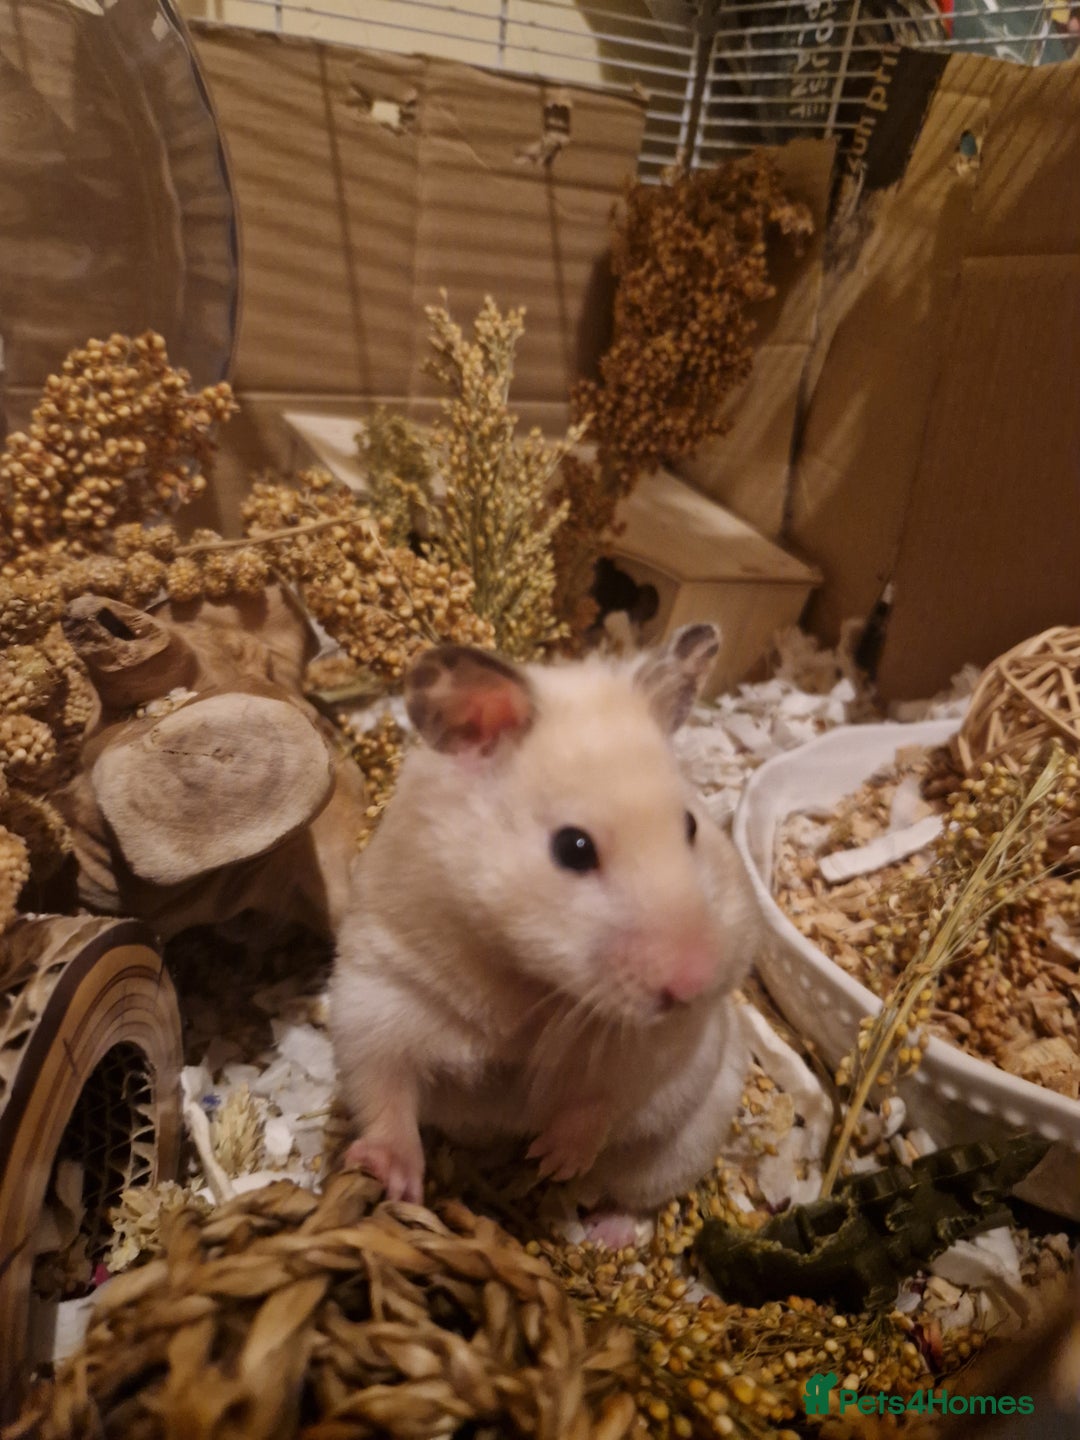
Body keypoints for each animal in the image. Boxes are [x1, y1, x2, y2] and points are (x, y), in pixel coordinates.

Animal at [329, 623, 760, 1231]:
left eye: (691, 826)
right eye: (572, 848)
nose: (693, 984)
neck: (531, 984)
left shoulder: (655, 1050)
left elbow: (606, 1099)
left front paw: (551, 1158)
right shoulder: (381, 992)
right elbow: (383, 1087)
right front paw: (394, 1184)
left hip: (682, 1146)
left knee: (626, 1195)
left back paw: (598, 1221)